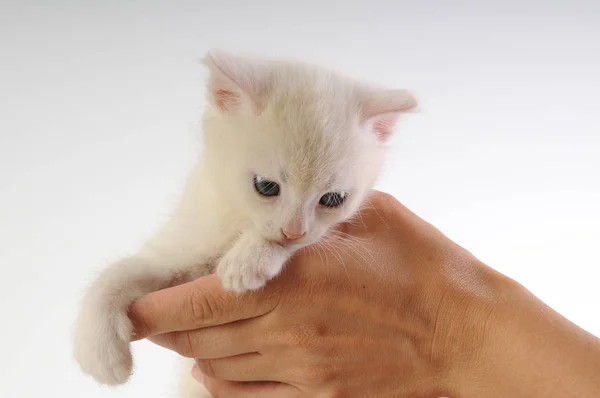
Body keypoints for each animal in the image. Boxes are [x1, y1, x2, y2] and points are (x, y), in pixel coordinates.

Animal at [71, 48, 418, 394]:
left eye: (332, 199)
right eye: (266, 186)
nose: (293, 231)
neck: (235, 218)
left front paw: (249, 258)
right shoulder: (182, 248)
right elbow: (120, 272)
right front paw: (97, 348)